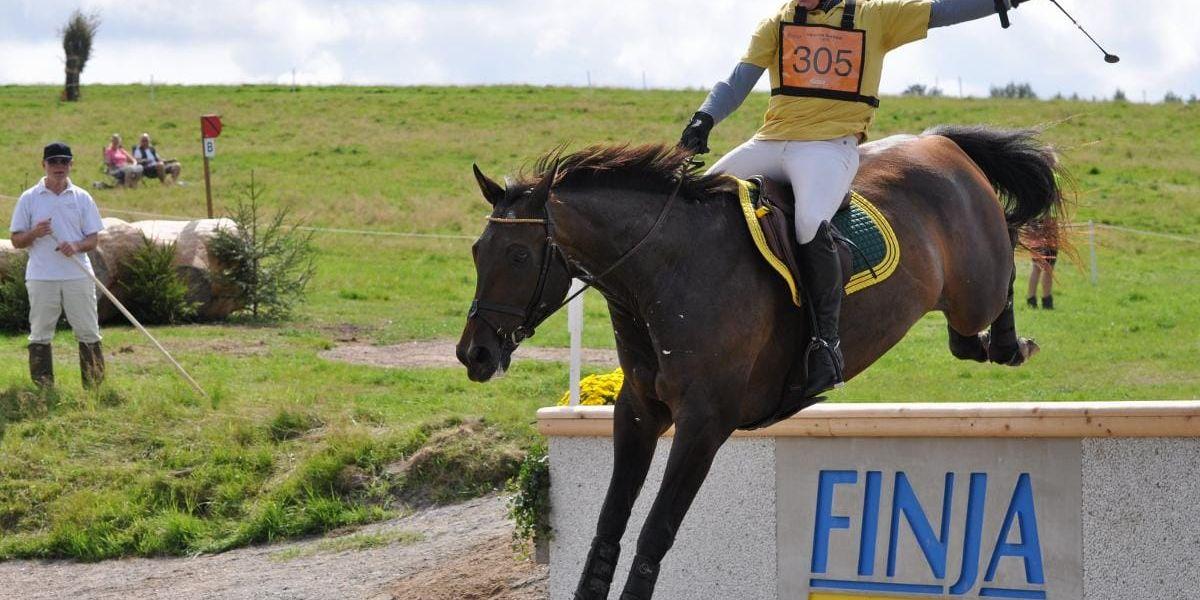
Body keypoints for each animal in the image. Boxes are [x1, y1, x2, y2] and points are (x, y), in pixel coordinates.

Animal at [453, 124, 1065, 597]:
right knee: (966, 338)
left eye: (518, 254)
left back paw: (1013, 342)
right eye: (477, 252)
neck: (664, 274)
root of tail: (940, 143)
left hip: (975, 285)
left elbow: (655, 531)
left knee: (1009, 259)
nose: (473, 354)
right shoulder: (638, 413)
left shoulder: (705, 423)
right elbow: (609, 523)